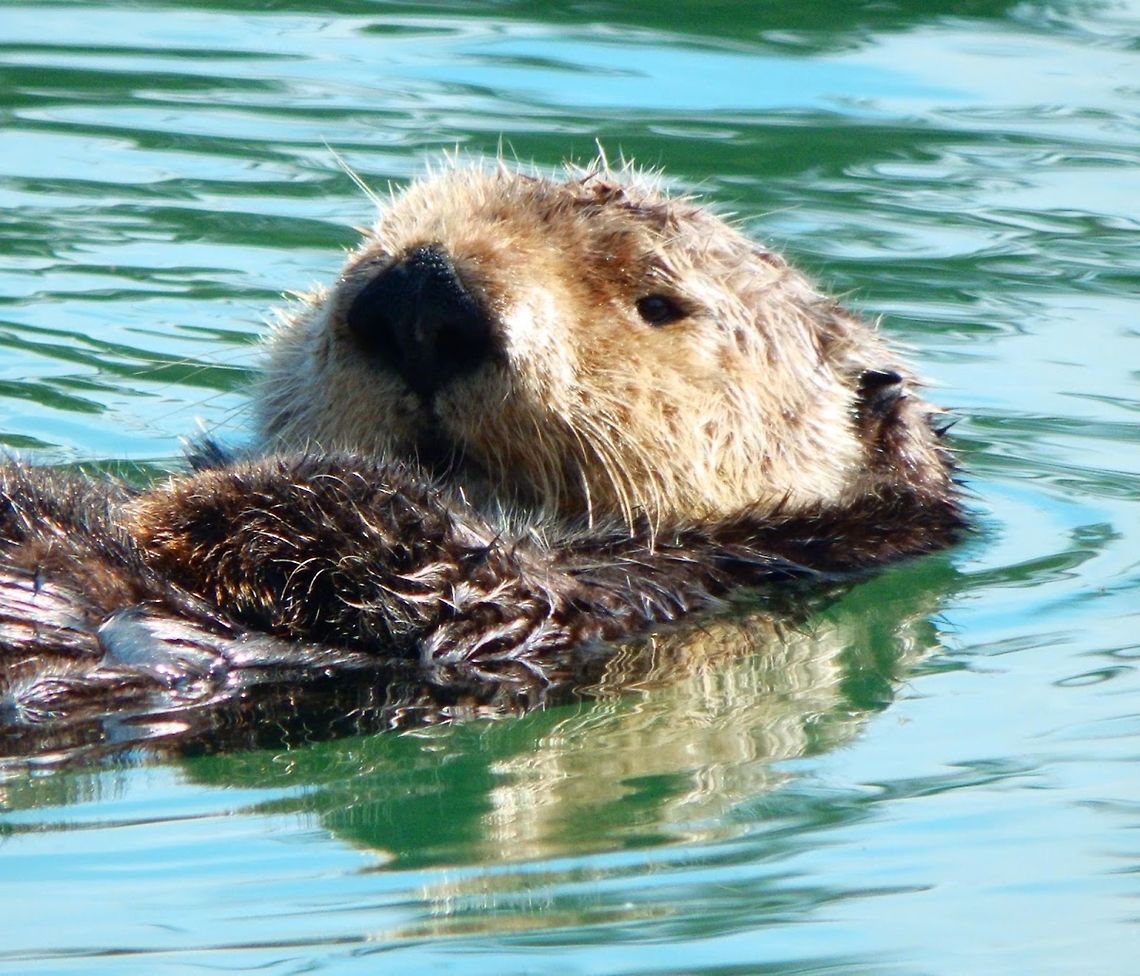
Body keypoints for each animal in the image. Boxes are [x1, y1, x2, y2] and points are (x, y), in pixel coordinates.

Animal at [0, 161, 964, 758]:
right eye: (369, 245)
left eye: (660, 302)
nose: (422, 298)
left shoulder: (596, 607)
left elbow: (437, 565)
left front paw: (193, 496)